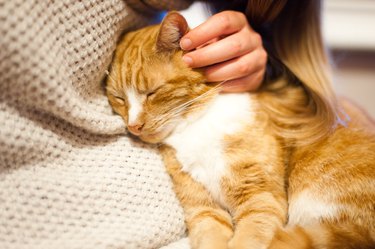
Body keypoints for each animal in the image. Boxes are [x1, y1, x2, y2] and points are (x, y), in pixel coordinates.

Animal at [106, 12, 375, 249]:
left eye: (152, 93)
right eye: (119, 98)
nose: (134, 126)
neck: (196, 127)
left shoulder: (260, 199)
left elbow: (248, 239)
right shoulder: (203, 210)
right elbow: (210, 238)